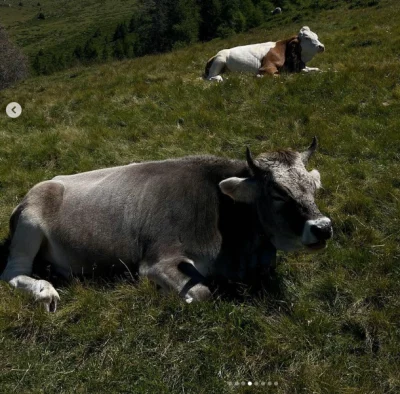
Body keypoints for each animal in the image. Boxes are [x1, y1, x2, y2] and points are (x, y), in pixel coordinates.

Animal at [0, 139, 332, 310]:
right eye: (277, 192)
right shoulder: (158, 260)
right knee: (12, 273)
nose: (323, 227)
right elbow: (202, 293)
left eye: (313, 187)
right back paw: (44, 291)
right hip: (30, 223)